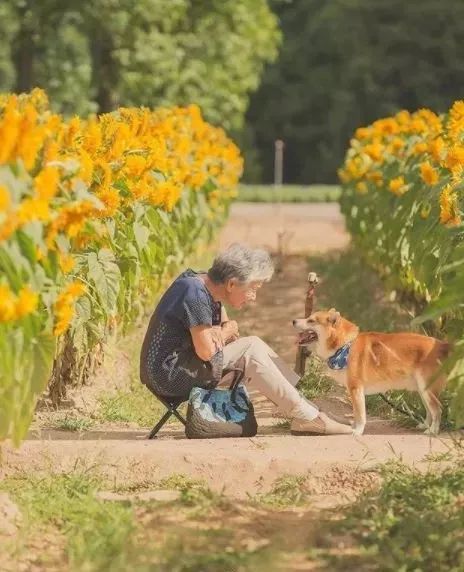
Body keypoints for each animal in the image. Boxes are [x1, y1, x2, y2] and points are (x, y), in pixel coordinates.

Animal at [294, 310, 450, 436]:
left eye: (311, 320)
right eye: (308, 317)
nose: (294, 321)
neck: (345, 346)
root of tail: (442, 345)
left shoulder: (356, 389)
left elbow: (360, 414)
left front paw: (358, 431)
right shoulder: (354, 392)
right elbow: (356, 414)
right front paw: (354, 426)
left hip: (427, 390)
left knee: (437, 410)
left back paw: (433, 430)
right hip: (422, 390)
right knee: (429, 410)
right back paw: (425, 425)